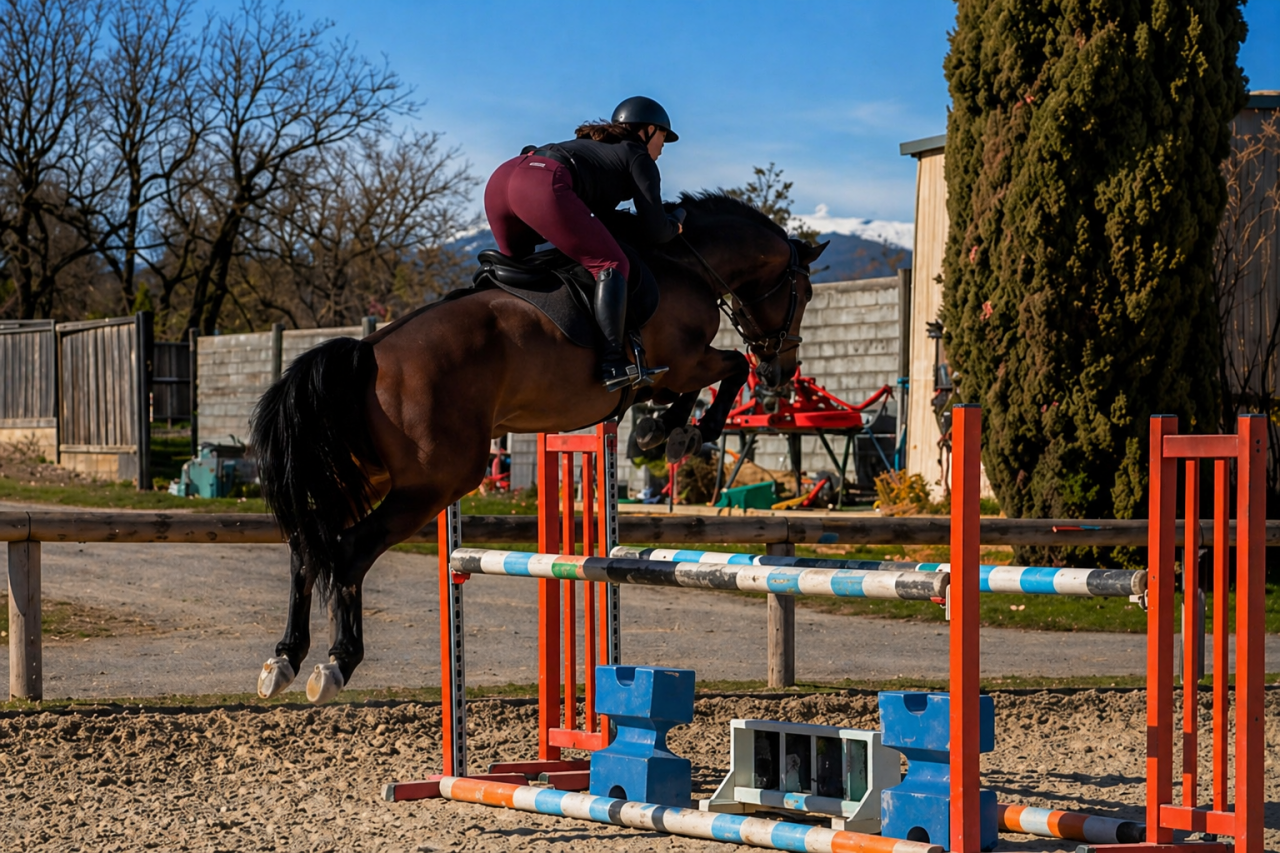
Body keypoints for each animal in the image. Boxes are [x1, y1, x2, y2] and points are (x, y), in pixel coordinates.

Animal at [251, 191, 828, 704]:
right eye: (804, 293)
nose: (782, 370)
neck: (684, 263)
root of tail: (368, 351)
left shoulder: (671, 372)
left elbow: (697, 385)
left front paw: (660, 432)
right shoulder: (684, 361)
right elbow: (728, 368)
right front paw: (685, 432)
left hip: (367, 475)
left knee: (306, 545)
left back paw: (284, 659)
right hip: (435, 482)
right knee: (348, 550)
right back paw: (336, 663)